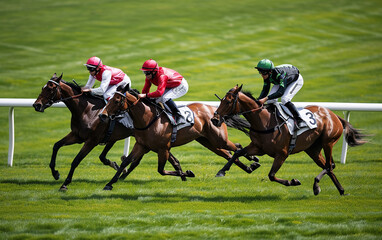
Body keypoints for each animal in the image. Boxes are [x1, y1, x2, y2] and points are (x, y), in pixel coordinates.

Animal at [98, 85, 260, 190]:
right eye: (110, 99)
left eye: (117, 101)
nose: (102, 115)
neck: (148, 119)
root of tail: (215, 111)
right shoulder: (142, 145)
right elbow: (125, 162)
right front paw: (110, 184)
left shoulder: (163, 148)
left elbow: (161, 170)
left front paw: (187, 173)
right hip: (209, 142)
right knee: (230, 152)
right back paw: (249, 167)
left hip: (219, 139)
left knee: (236, 147)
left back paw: (253, 160)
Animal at [210, 84, 366, 195]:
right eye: (221, 100)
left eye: (229, 101)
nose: (214, 119)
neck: (264, 121)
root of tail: (334, 115)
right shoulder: (258, 147)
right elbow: (237, 153)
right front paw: (222, 171)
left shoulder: (282, 153)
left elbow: (271, 175)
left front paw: (293, 181)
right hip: (313, 149)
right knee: (329, 166)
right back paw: (341, 190)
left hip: (328, 142)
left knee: (329, 165)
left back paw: (316, 185)